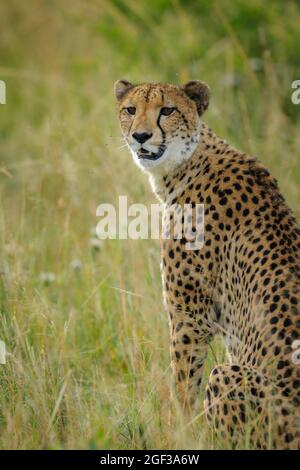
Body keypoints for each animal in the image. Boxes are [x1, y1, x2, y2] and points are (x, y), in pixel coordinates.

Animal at [114, 79, 300, 450]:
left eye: (167, 110)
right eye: (130, 109)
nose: (141, 136)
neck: (188, 163)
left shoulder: (190, 317)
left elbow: (184, 386)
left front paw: (182, 435)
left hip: (231, 377)